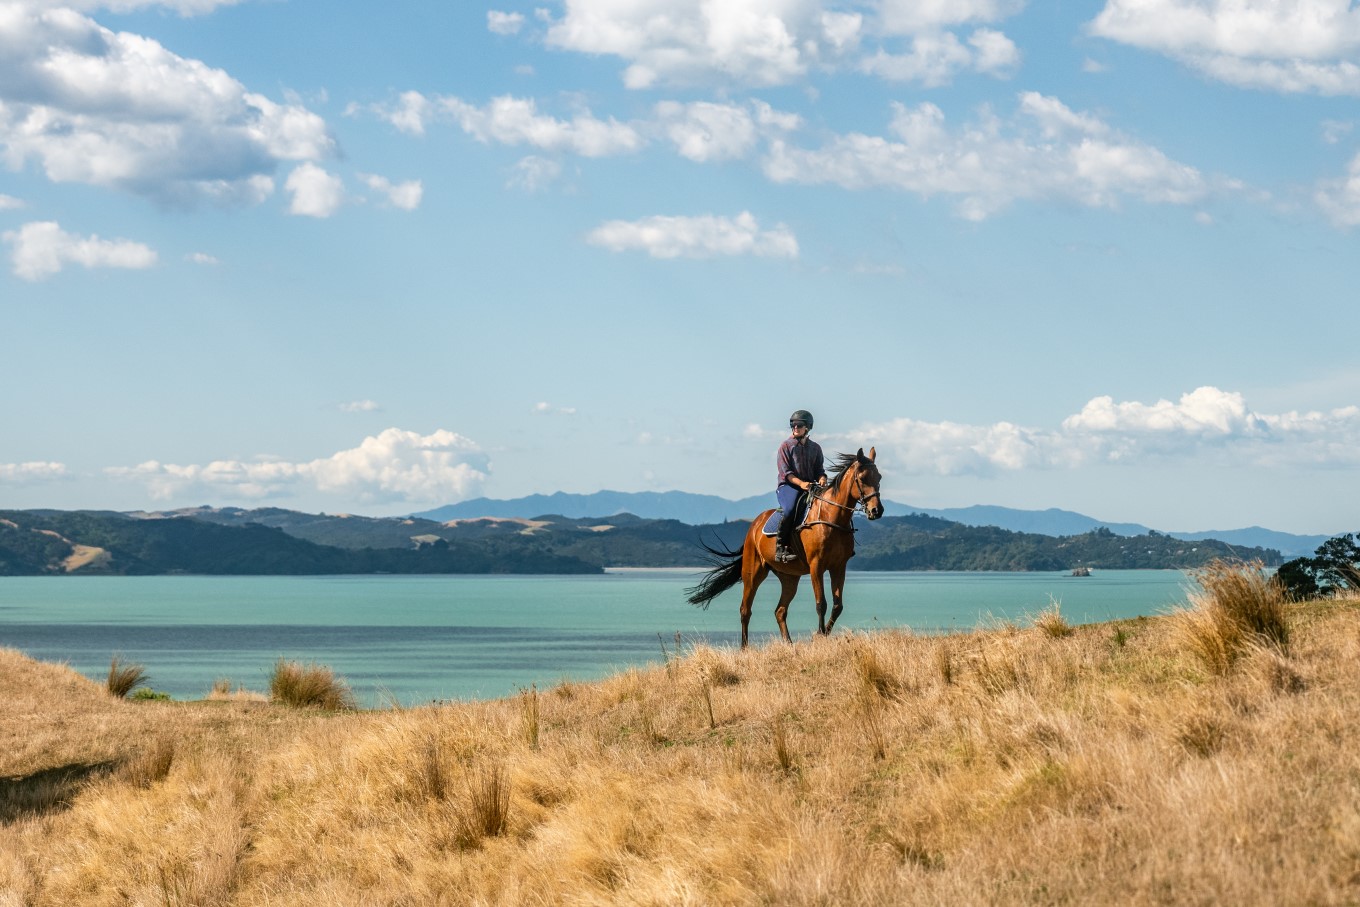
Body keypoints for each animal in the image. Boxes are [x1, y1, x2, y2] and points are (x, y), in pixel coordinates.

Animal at [686, 447, 883, 647]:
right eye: (862, 478)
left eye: (879, 477)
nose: (877, 511)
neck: (831, 517)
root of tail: (754, 526)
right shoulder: (816, 566)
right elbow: (821, 604)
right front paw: (819, 636)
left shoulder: (838, 567)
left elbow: (837, 605)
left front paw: (824, 634)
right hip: (753, 573)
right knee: (745, 610)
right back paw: (745, 647)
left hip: (789, 578)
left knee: (780, 611)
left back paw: (788, 644)